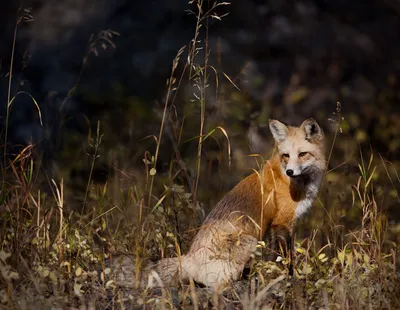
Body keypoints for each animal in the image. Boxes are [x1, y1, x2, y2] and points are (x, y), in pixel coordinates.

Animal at [111, 118, 324, 288]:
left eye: (302, 154)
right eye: (286, 156)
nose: (290, 171)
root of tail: (189, 257)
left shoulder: (277, 226)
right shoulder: (281, 223)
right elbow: (286, 258)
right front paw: (289, 278)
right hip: (250, 240)